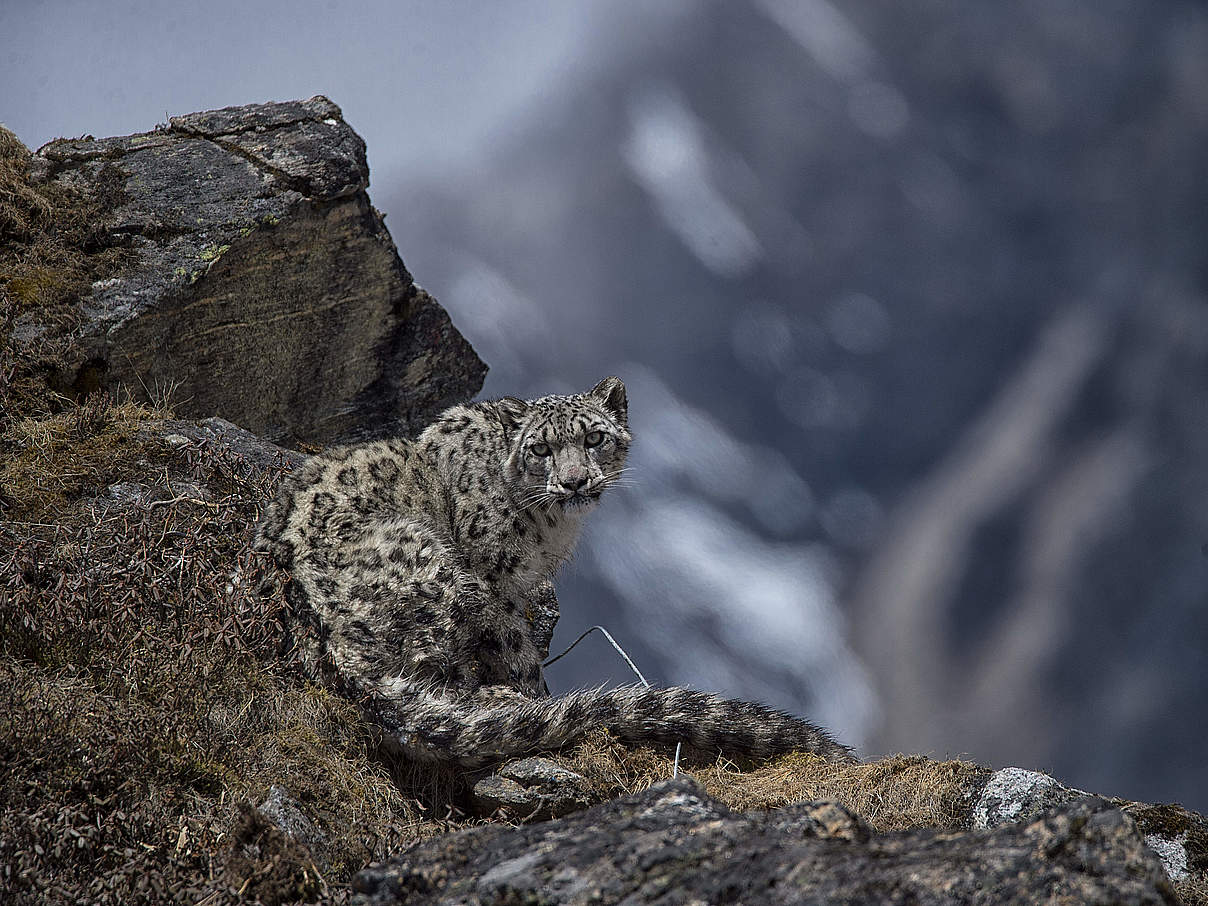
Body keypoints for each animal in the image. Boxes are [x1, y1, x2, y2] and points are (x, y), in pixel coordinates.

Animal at [258, 379, 855, 768]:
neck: (548, 530)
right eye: (541, 448)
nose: (573, 481)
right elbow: (517, 648)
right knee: (433, 676)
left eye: (594, 438)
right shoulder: (494, 579)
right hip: (434, 570)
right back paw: (498, 701)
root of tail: (326, 637)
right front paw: (536, 697)